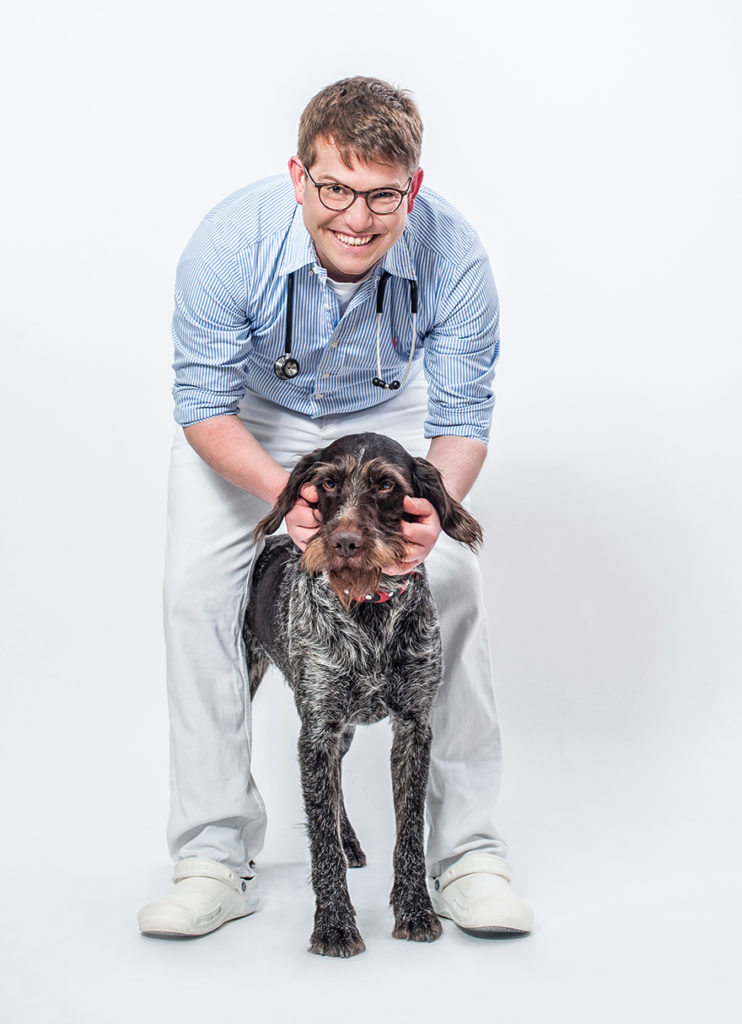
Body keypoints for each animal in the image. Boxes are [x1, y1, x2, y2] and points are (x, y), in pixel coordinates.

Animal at [245, 430, 483, 950]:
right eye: (328, 483)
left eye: (386, 485)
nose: (344, 543)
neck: (368, 613)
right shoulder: (318, 731)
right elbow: (321, 837)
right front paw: (334, 923)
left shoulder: (413, 727)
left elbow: (410, 829)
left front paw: (415, 909)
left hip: (346, 731)